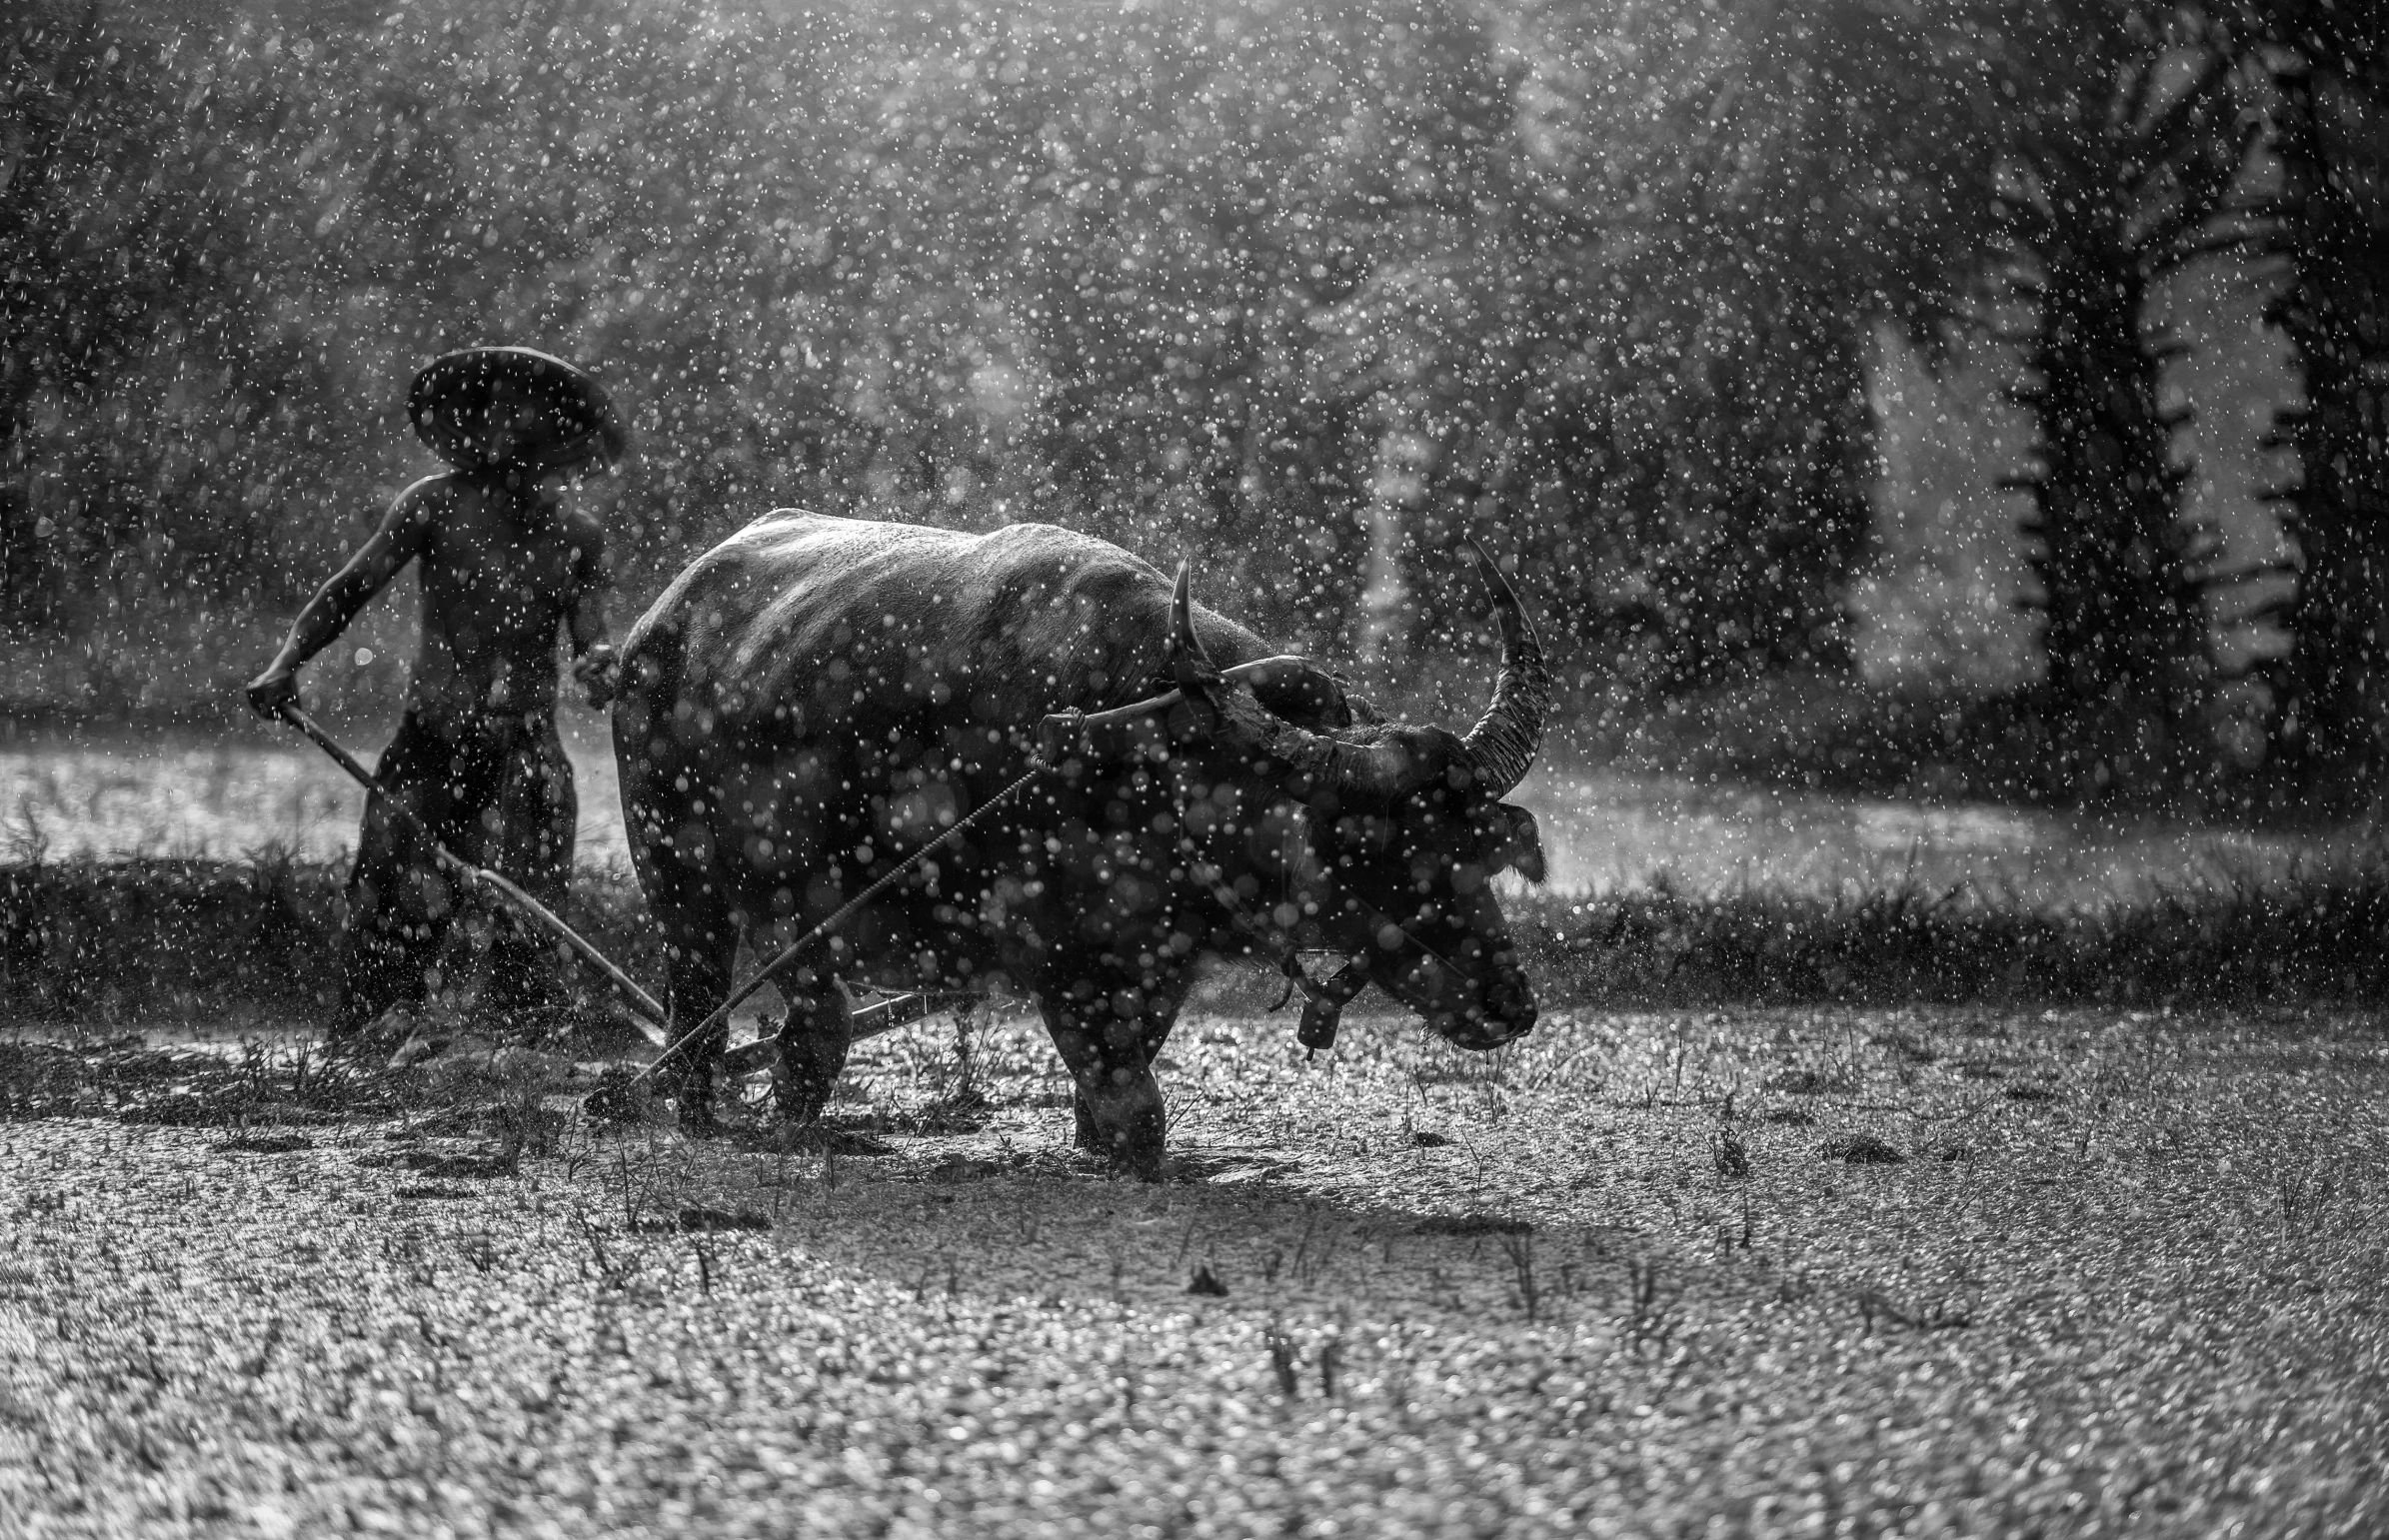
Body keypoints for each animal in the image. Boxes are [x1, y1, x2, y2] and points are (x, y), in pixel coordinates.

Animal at [616, 511, 1547, 1169]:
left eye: (1477, 850)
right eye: (1375, 849)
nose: (1510, 1001)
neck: (1156, 755)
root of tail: (656, 622)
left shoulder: (1159, 968)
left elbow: (1112, 1099)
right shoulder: (1058, 966)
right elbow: (1138, 1119)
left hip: (799, 911)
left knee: (812, 1028)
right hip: (678, 882)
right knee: (704, 1011)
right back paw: (704, 1118)